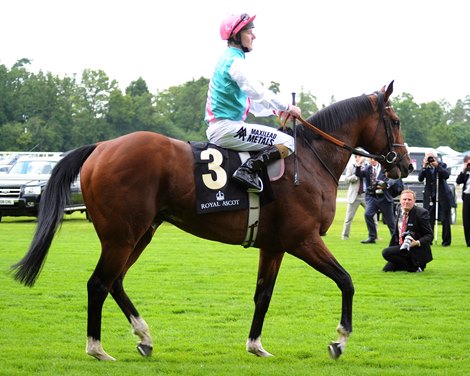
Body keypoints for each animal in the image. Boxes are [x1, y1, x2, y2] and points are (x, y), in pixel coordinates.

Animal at [11, 81, 412, 362]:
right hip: (121, 236)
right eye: (395, 121)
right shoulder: (303, 240)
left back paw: (144, 337)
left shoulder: (274, 246)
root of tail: (101, 146)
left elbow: (263, 295)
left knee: (115, 282)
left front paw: (256, 345)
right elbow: (346, 281)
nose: (406, 165)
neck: (311, 161)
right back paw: (97, 348)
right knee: (98, 284)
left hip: (140, 234)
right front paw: (339, 340)